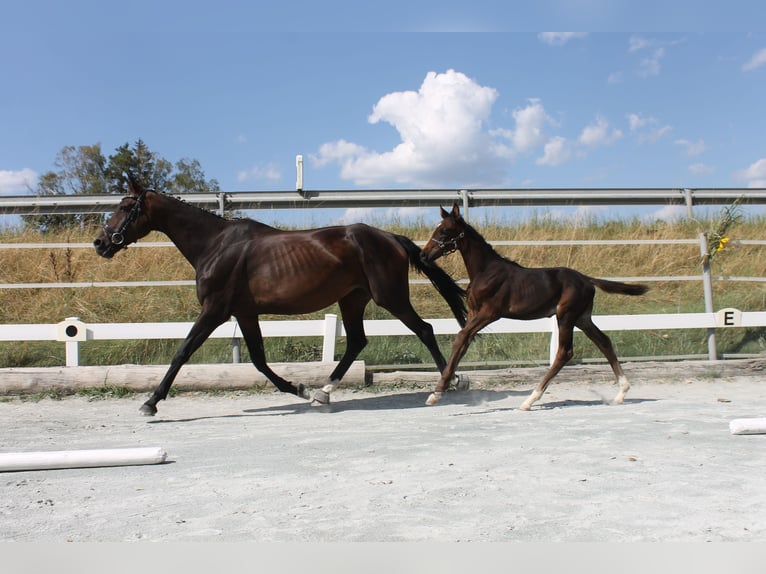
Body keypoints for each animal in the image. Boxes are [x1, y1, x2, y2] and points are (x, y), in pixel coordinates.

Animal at [96, 178, 468, 416]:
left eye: (126, 206)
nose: (100, 243)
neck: (215, 245)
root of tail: (390, 237)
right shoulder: (244, 313)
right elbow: (259, 360)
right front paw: (301, 389)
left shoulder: (215, 310)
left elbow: (182, 352)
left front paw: (151, 402)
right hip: (352, 299)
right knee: (357, 342)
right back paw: (322, 392)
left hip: (390, 297)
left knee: (424, 330)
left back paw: (449, 383)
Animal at [420, 205, 648, 412]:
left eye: (444, 230)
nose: (423, 255)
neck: (486, 271)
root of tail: (587, 279)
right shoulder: (475, 313)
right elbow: (463, 343)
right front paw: (448, 385)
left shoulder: (490, 313)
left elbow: (460, 338)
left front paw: (436, 393)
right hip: (582, 318)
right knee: (604, 342)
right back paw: (621, 392)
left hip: (566, 316)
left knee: (565, 352)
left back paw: (530, 400)